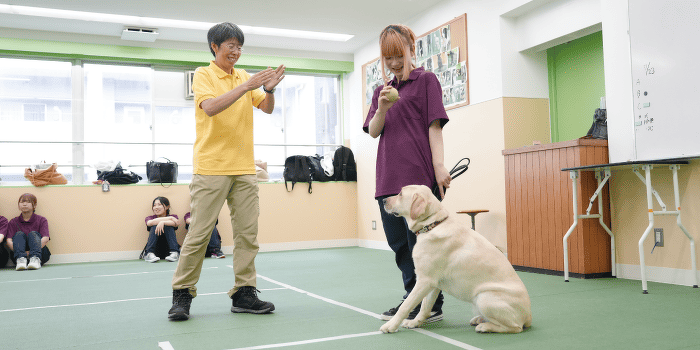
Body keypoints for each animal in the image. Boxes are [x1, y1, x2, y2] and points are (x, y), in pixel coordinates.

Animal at [380, 185, 532, 332]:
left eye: (400, 194)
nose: (383, 201)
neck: (433, 225)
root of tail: (528, 317)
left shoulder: (424, 281)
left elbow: (405, 306)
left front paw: (391, 326)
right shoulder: (433, 284)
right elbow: (425, 306)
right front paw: (414, 322)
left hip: (484, 297)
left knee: (515, 328)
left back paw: (485, 327)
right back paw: (479, 319)